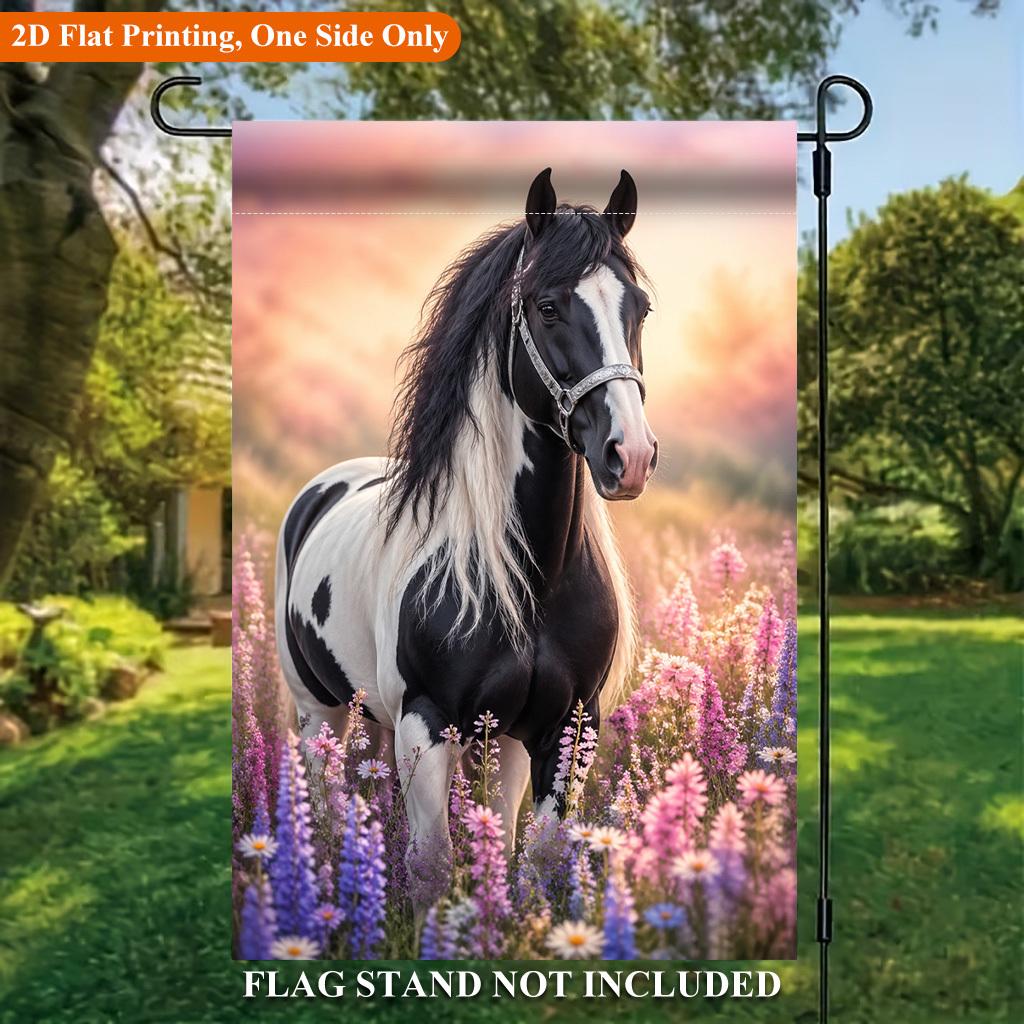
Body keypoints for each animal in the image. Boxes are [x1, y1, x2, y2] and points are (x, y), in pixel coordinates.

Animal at [275, 167, 658, 897]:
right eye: (547, 307)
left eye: (641, 308)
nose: (629, 455)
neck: (531, 579)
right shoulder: (424, 726)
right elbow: (433, 867)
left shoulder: (566, 728)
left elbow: (529, 861)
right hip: (320, 714)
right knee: (325, 806)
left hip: (494, 737)